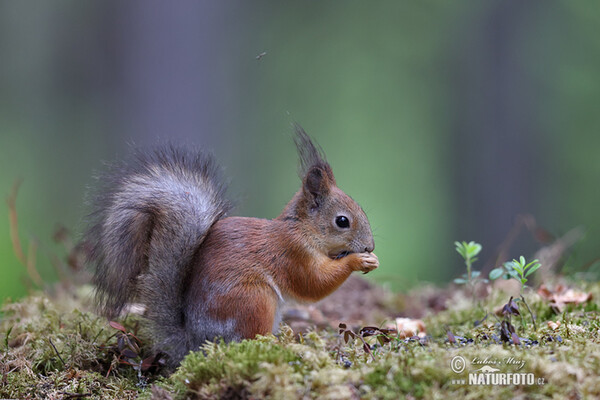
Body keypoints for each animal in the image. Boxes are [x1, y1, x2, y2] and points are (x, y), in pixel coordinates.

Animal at [84, 125, 378, 366]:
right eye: (342, 221)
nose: (370, 246)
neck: (303, 229)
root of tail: (196, 342)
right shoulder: (293, 253)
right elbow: (313, 283)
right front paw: (358, 261)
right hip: (253, 300)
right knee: (247, 340)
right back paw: (280, 346)